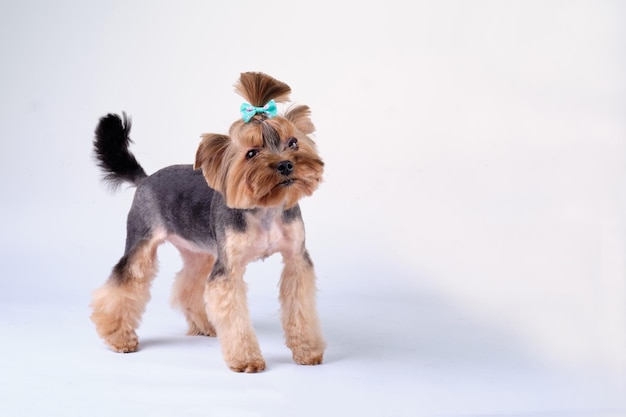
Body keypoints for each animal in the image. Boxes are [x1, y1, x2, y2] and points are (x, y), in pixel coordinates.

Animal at [91, 70, 326, 370]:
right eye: (252, 153)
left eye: (293, 142)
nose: (285, 165)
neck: (265, 208)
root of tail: (145, 179)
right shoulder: (228, 269)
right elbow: (234, 313)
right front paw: (246, 359)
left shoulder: (296, 259)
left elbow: (300, 308)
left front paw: (307, 350)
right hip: (142, 239)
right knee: (123, 282)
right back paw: (119, 337)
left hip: (198, 251)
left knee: (187, 286)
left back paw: (204, 324)